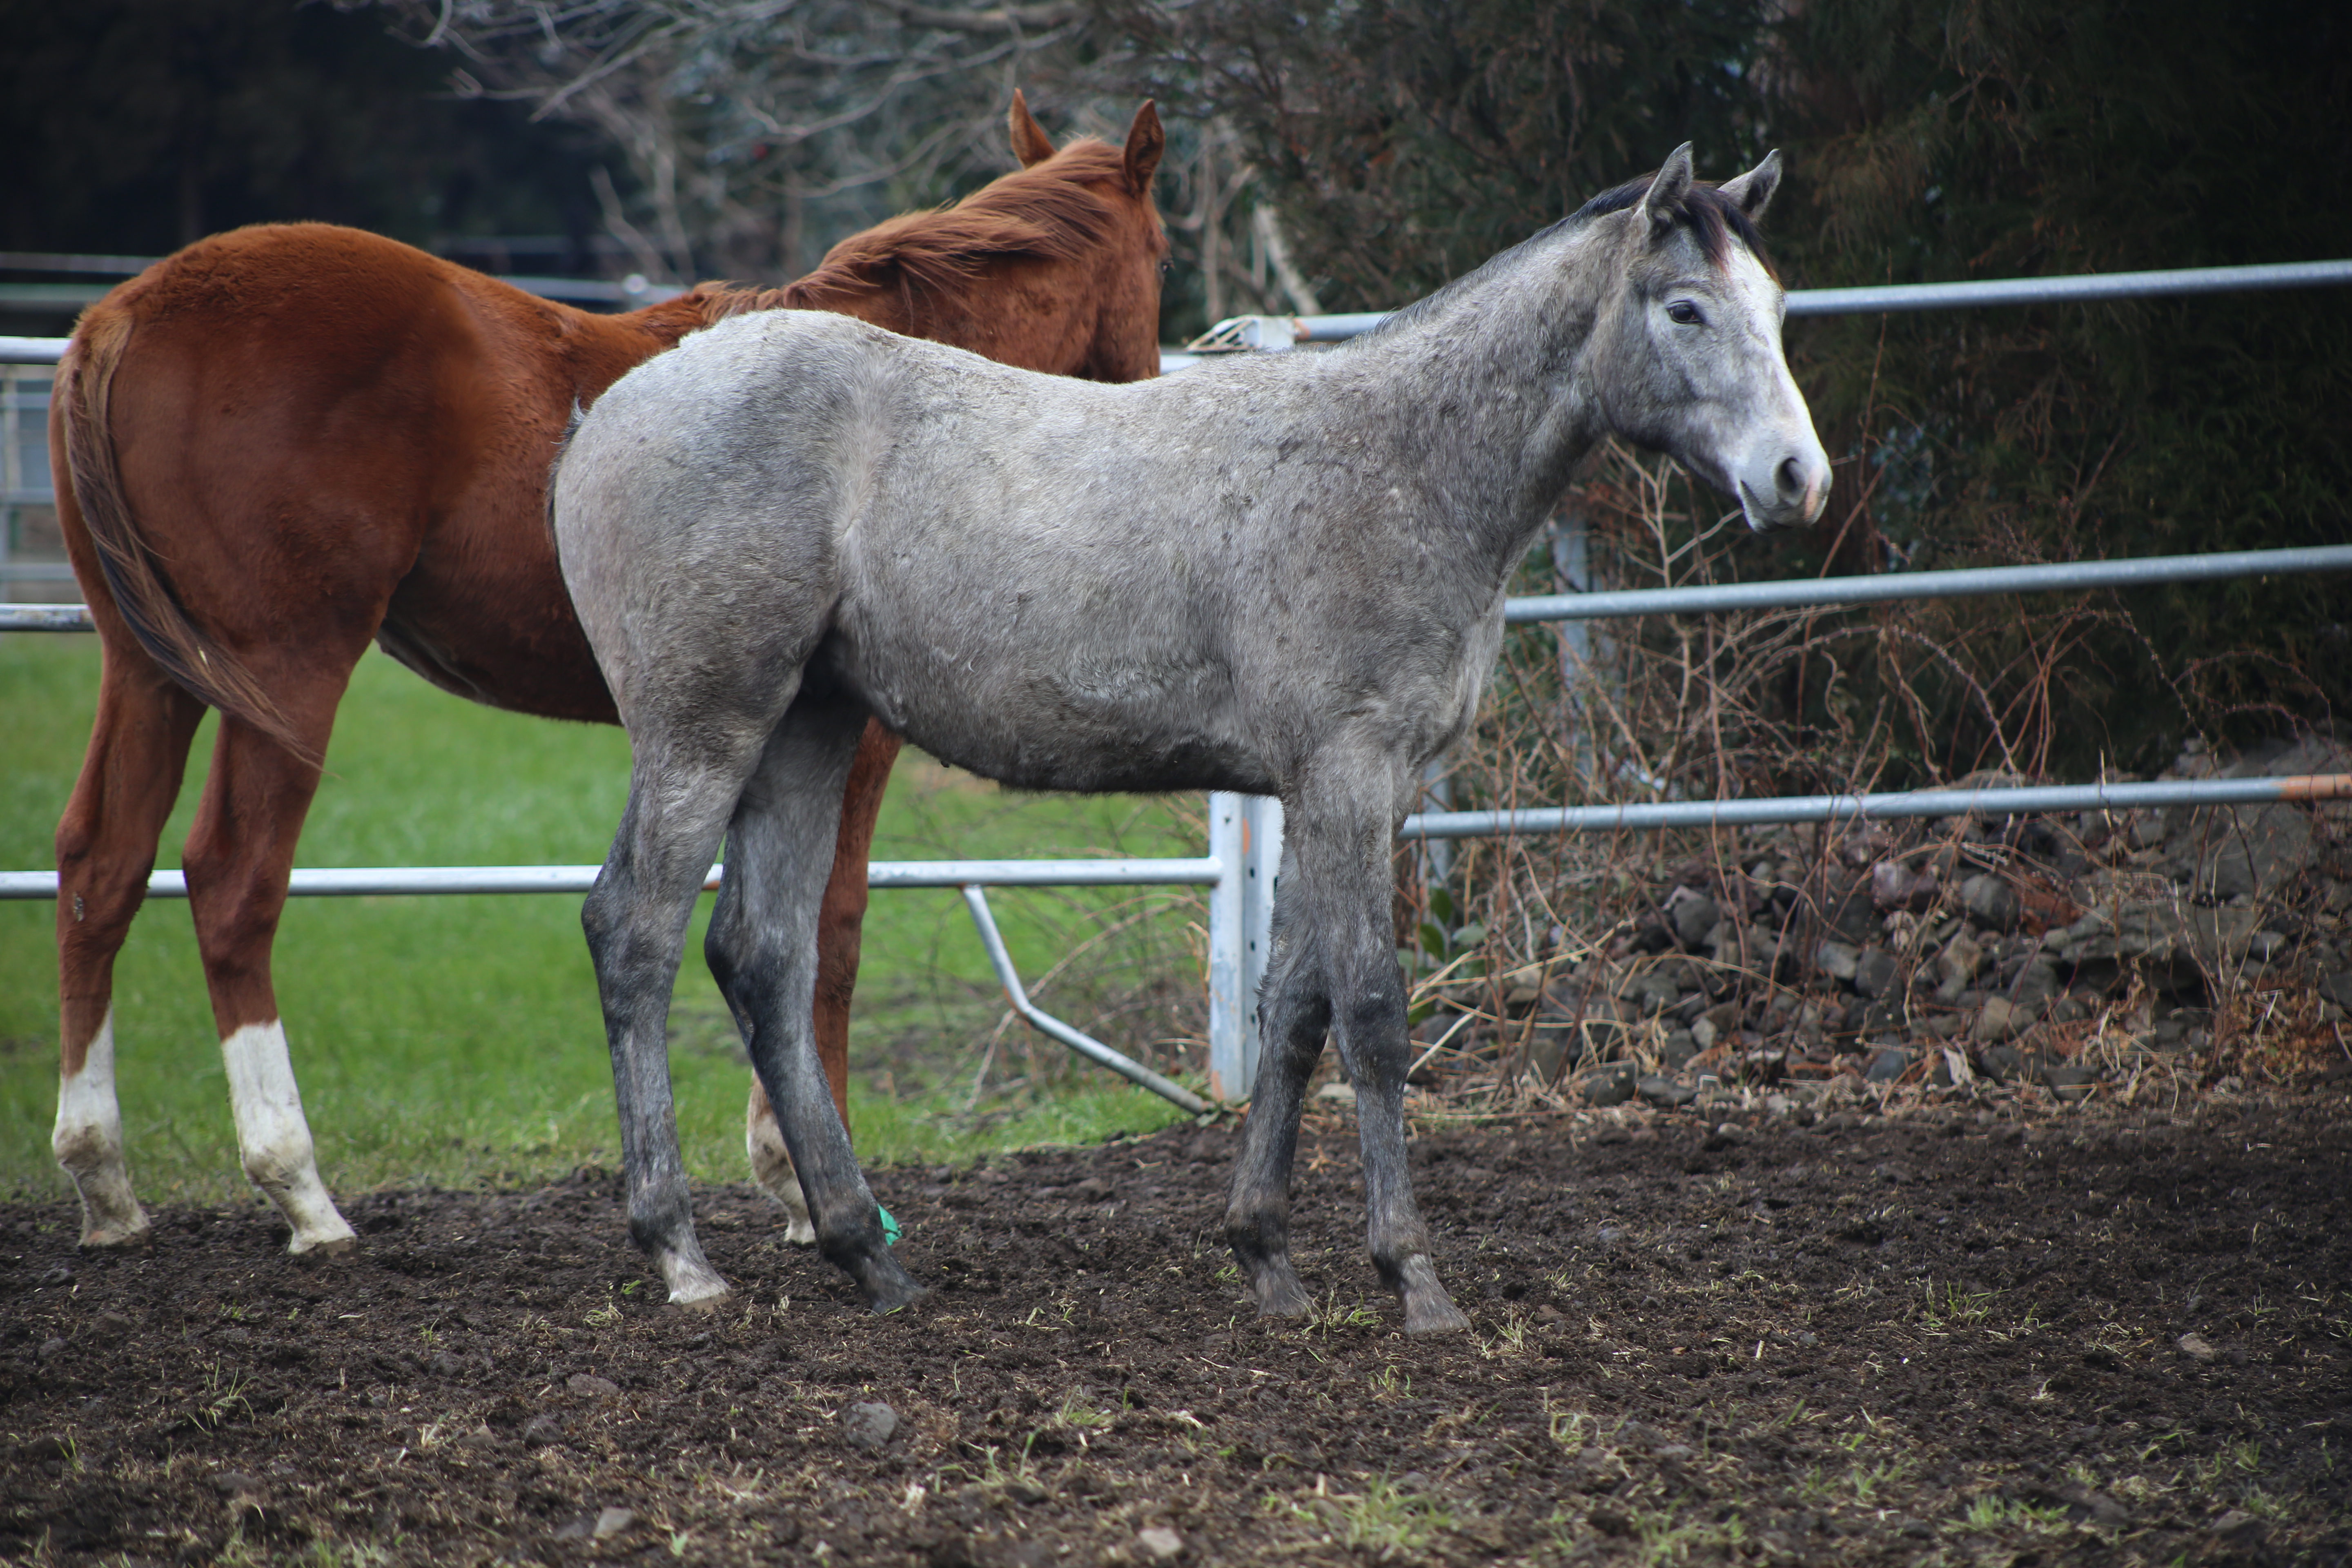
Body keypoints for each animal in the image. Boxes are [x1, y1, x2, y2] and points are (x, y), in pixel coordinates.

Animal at [46, 92, 1166, 1260]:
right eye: (1163, 255)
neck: (886, 393)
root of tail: (129, 310)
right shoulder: (850, 740)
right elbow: (829, 929)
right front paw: (806, 1180)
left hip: (152, 673)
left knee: (101, 868)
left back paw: (105, 1182)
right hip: (289, 674)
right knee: (231, 881)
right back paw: (300, 1189)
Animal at [555, 147, 1834, 1335]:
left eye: (1776, 306)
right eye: (1685, 308)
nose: (1797, 478)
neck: (1400, 463)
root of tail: (607, 414)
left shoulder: (1349, 789)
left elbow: (1296, 1014)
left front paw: (1266, 1256)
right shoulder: (1346, 774)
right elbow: (1373, 1016)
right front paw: (1411, 1276)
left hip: (809, 730)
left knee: (762, 956)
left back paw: (865, 1250)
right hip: (705, 731)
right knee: (636, 932)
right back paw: (681, 1253)